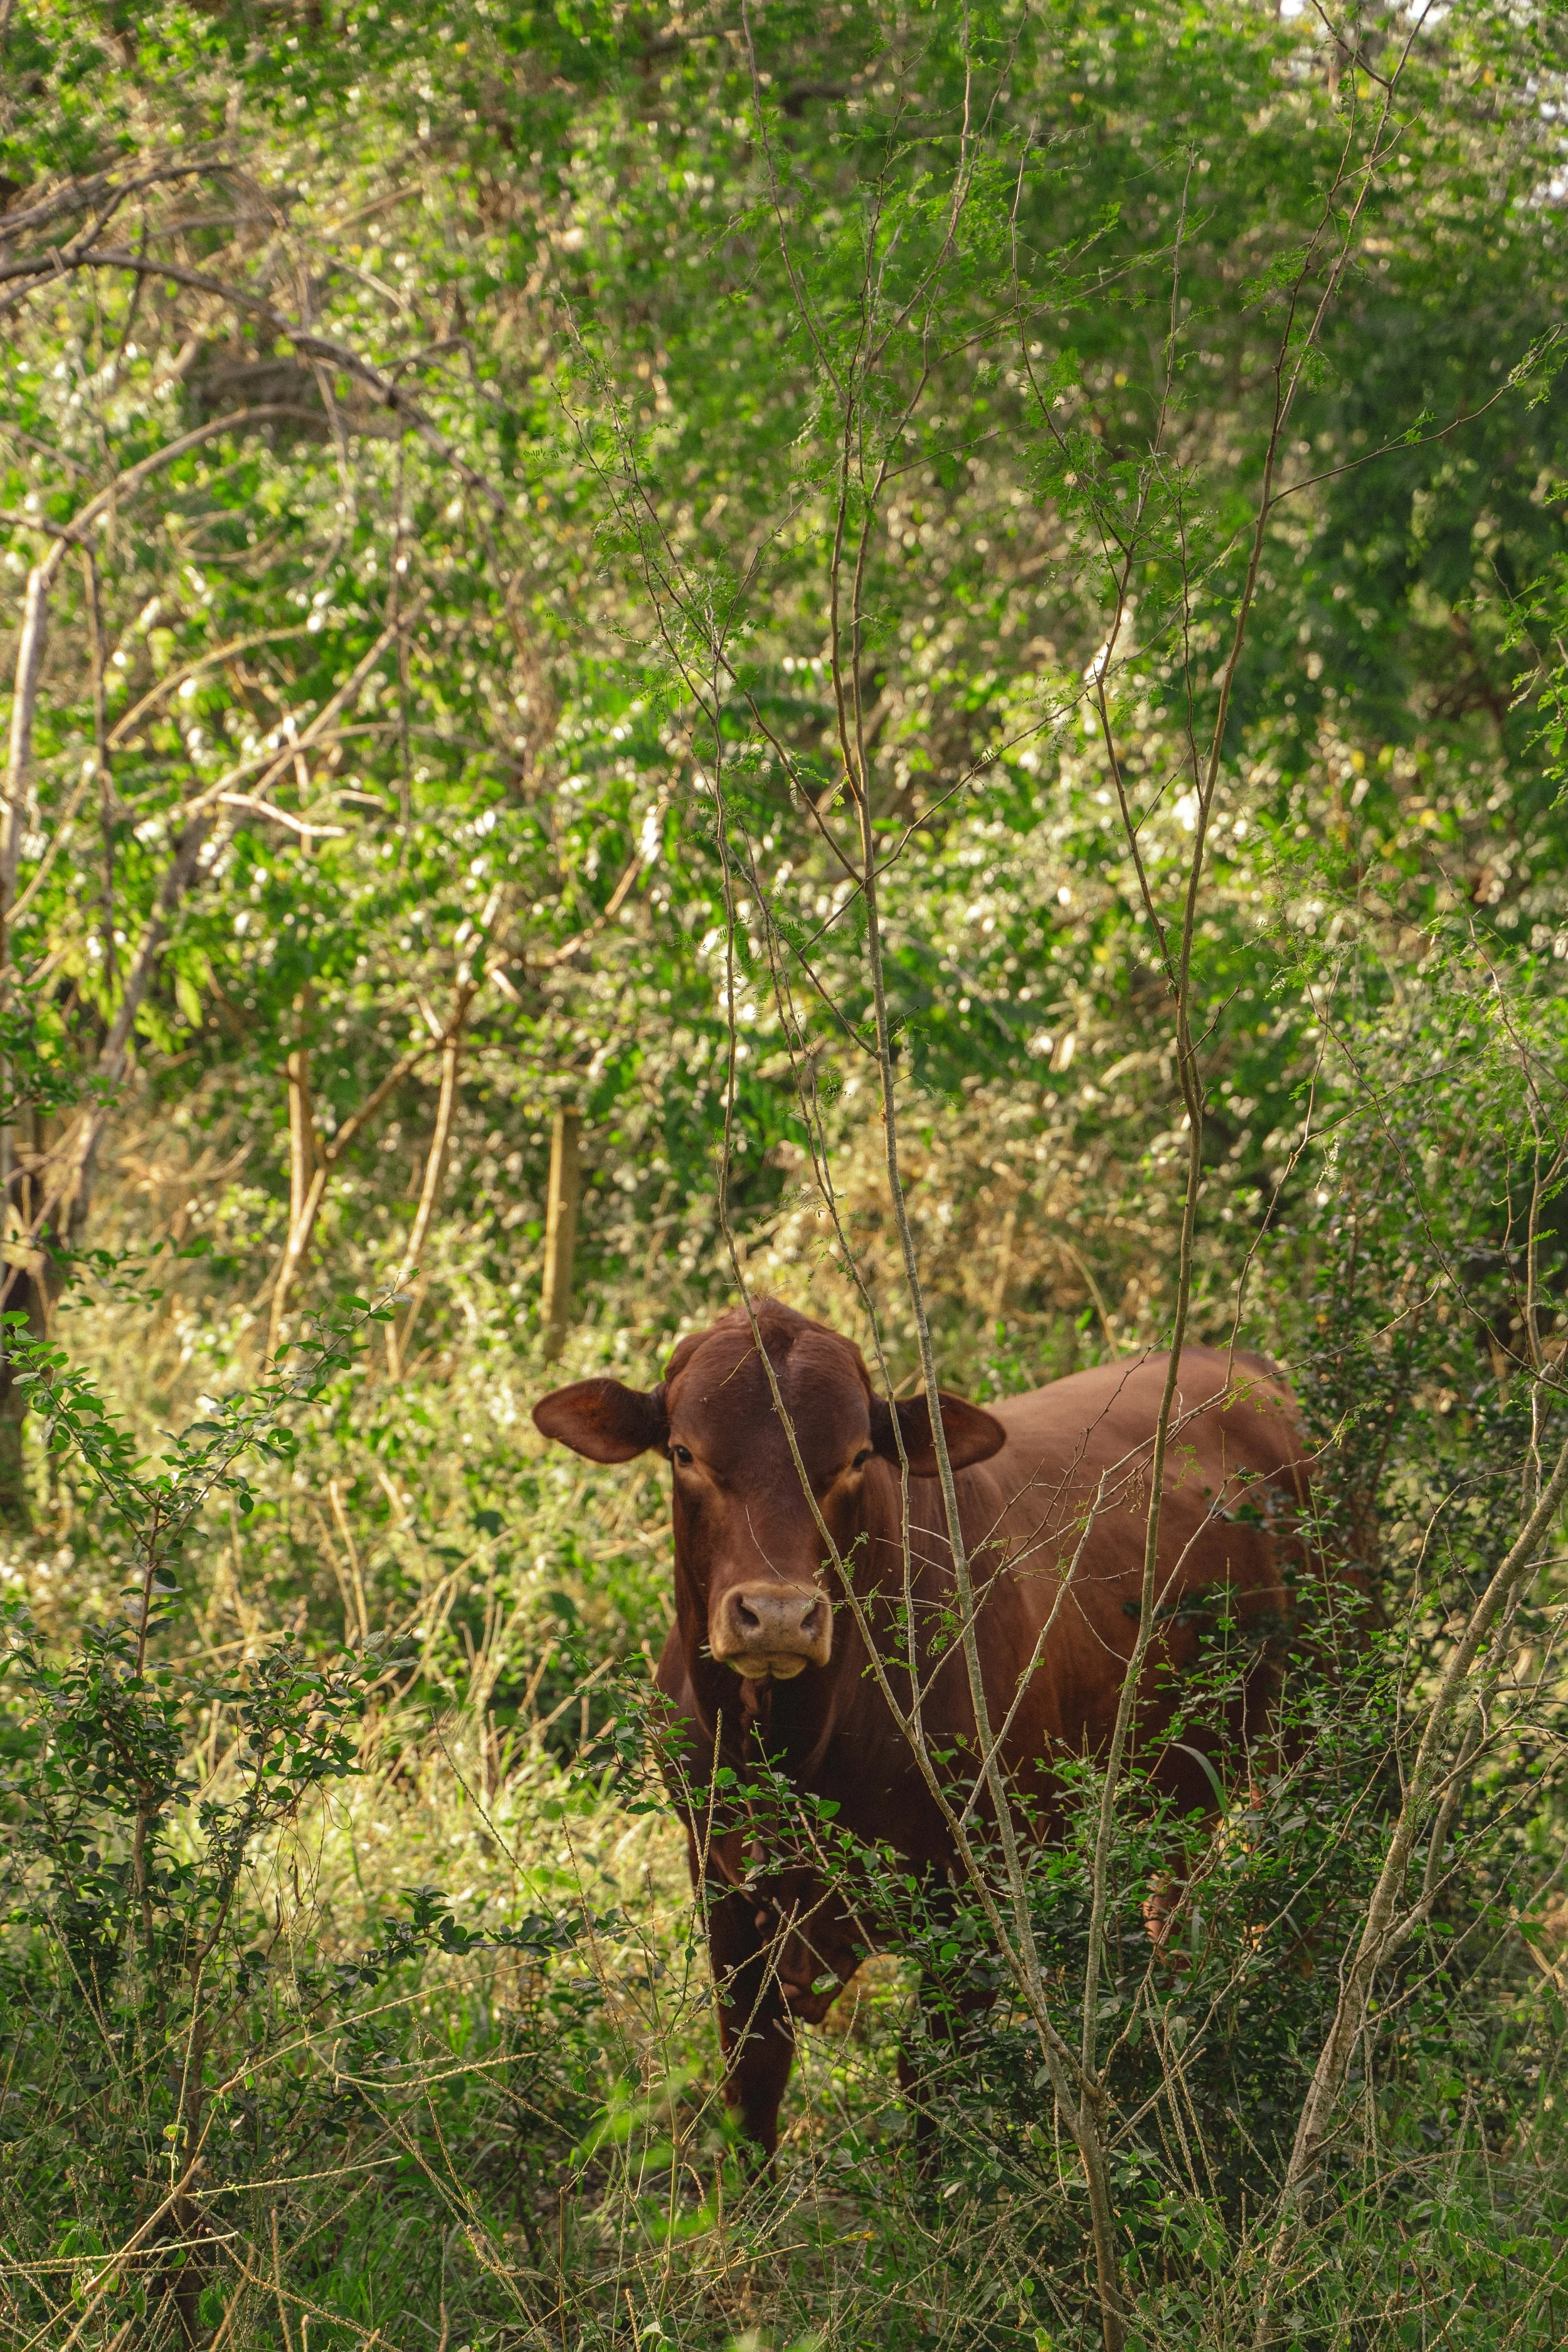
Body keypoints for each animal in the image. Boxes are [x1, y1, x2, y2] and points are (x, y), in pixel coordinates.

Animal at [533, 1299, 1315, 2160]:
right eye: (683, 1453)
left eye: (853, 1457)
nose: (779, 1615)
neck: (800, 1748)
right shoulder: (721, 1884)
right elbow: (753, 2078)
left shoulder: (976, 1903)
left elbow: (934, 2087)